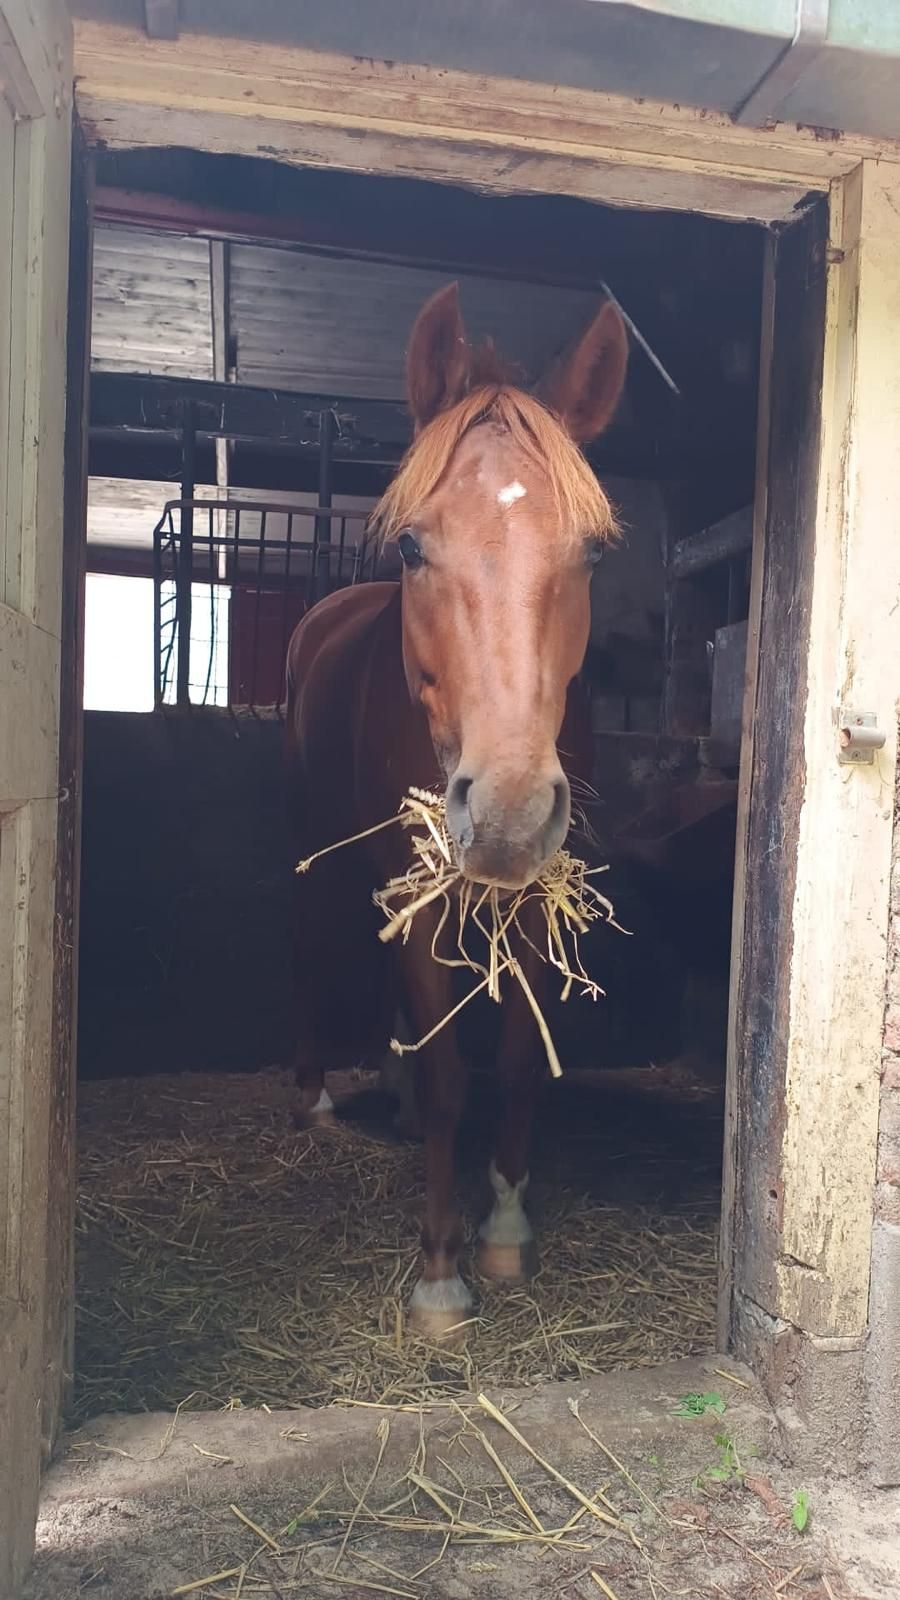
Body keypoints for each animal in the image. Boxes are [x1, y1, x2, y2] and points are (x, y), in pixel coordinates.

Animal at [285, 283, 628, 1337]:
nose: (510, 808)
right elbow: (448, 1078)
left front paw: (506, 1229)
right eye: (411, 544)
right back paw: (315, 1097)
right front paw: (441, 1272)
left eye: (589, 553)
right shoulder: (422, 892)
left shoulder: (525, 903)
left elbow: (512, 1063)